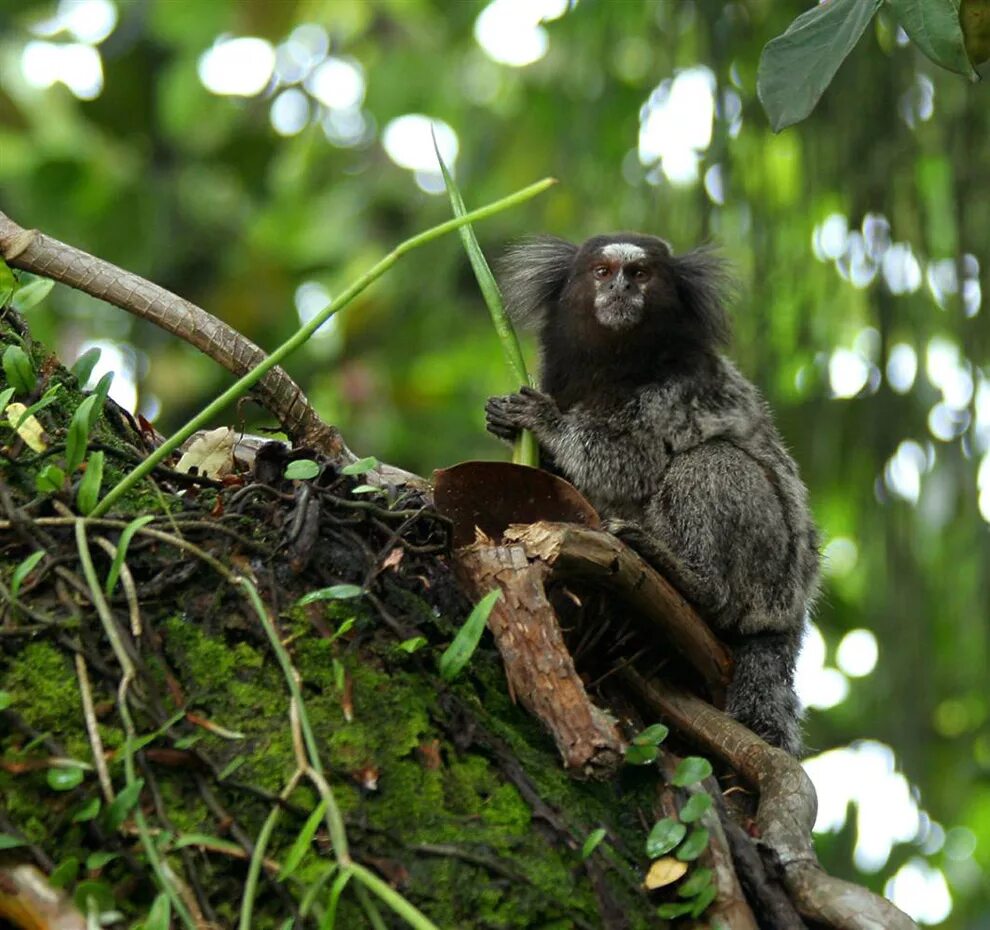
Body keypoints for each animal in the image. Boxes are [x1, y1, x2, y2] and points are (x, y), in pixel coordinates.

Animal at [488, 234, 820, 752]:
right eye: (602, 271)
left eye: (641, 275)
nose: (622, 288)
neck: (614, 366)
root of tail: (790, 615)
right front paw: (507, 428)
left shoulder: (674, 391)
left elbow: (632, 464)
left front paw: (547, 422)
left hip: (771, 571)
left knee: (710, 462)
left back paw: (688, 578)